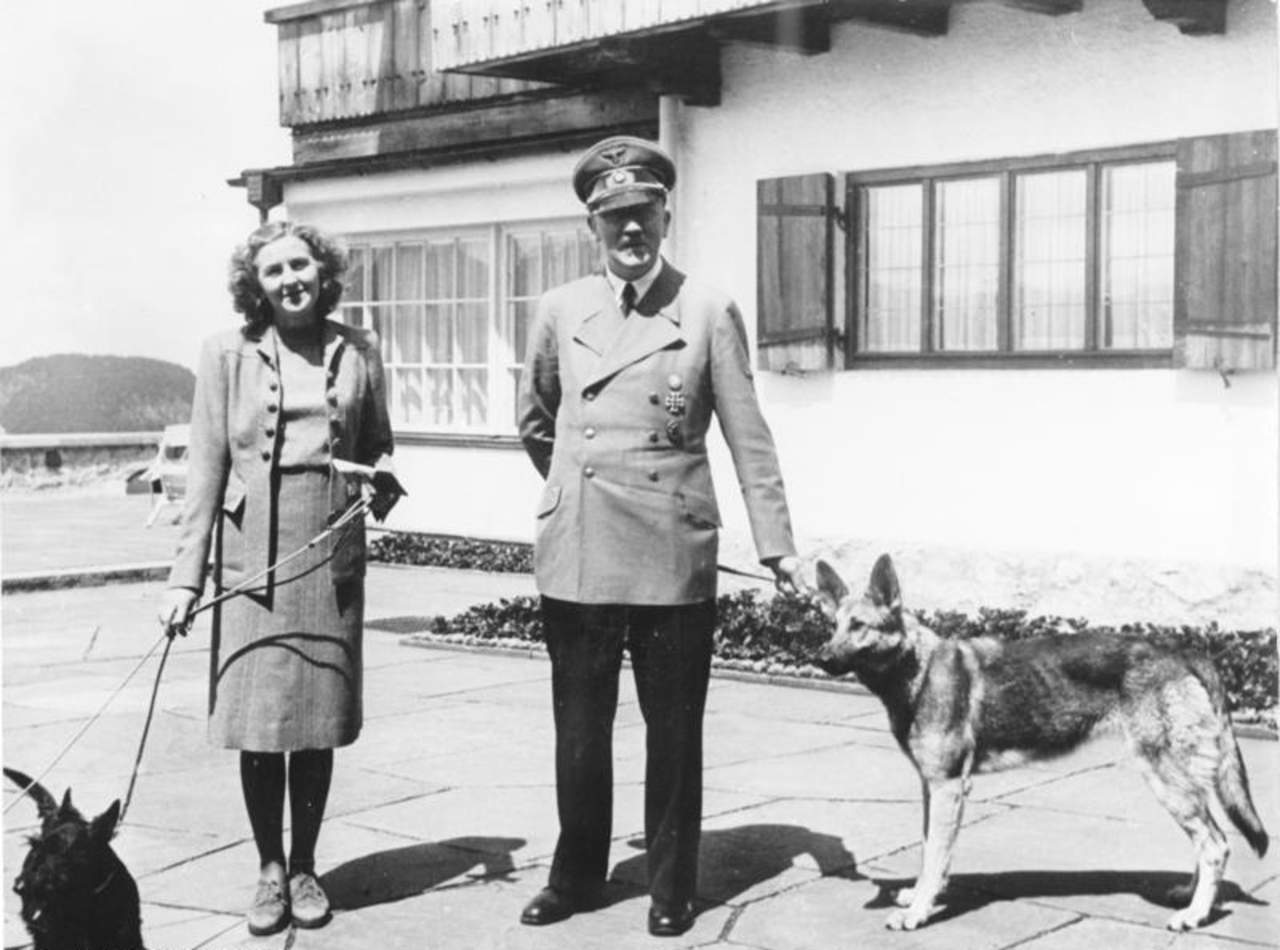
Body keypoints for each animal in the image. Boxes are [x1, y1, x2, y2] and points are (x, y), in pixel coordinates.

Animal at [814, 555, 1264, 932]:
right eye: (832, 625)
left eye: (859, 626)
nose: (820, 658)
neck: (916, 670)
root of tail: (1185, 651)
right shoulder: (932, 788)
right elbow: (930, 852)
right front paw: (922, 896)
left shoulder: (948, 787)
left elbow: (937, 854)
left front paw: (919, 912)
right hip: (1181, 786)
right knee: (1209, 841)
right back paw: (1190, 897)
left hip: (1166, 782)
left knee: (1216, 844)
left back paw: (1194, 915)